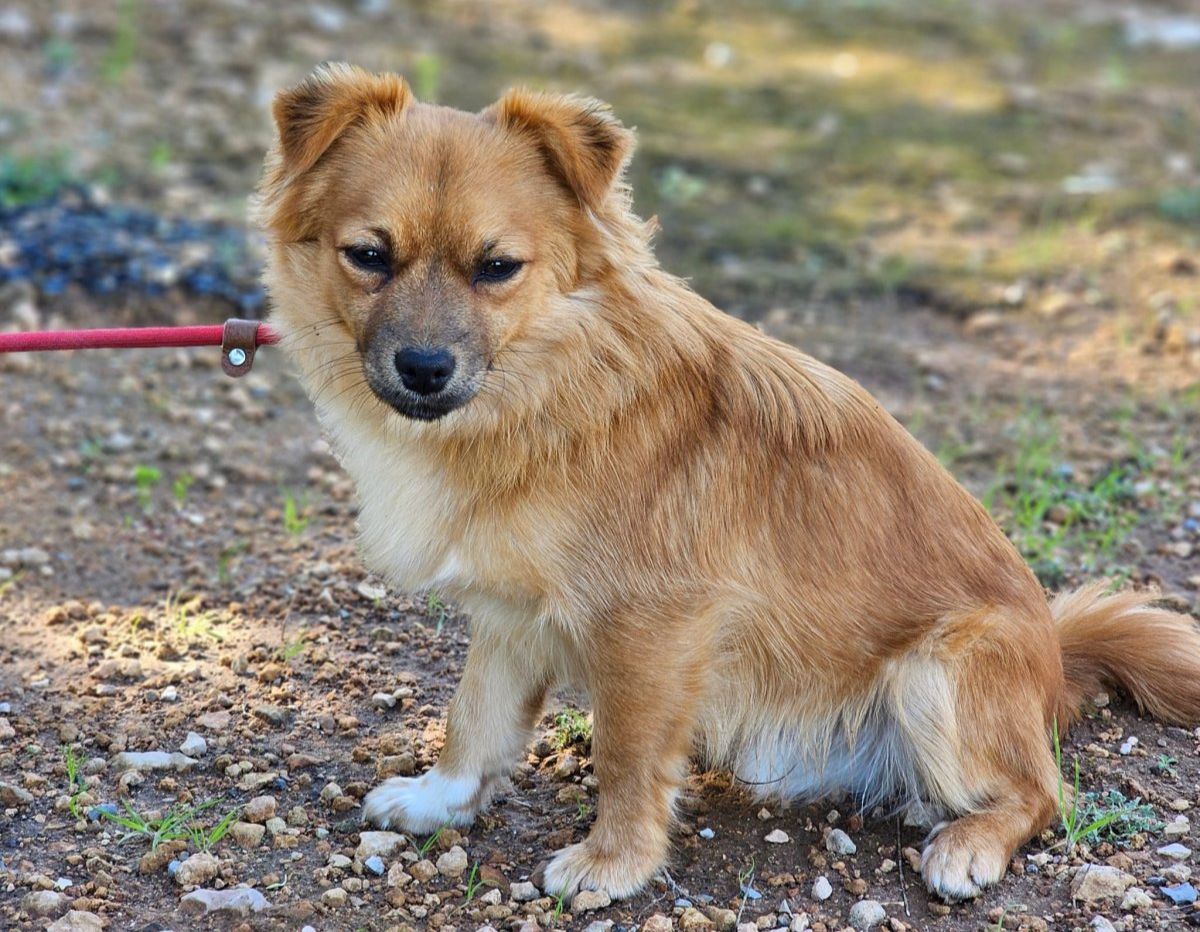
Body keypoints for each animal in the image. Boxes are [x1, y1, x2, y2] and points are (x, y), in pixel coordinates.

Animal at [257, 63, 1200, 902]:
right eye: (368, 256)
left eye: (497, 268)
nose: (424, 367)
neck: (540, 396)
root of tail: (1054, 659)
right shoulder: (511, 613)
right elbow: (476, 717)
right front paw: (439, 800)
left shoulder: (653, 625)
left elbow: (628, 756)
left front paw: (613, 864)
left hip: (939, 670)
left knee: (1042, 794)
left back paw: (968, 844)